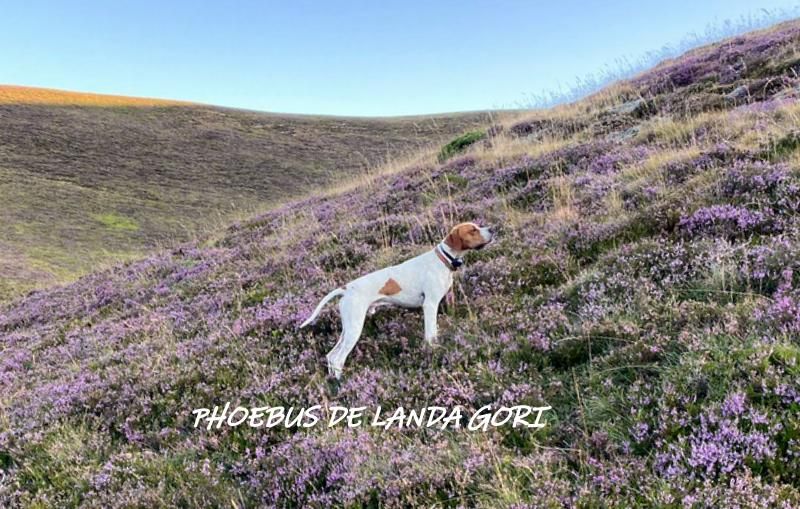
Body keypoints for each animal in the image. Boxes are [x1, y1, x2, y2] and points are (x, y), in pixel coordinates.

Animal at [300, 222, 494, 378]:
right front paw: (433, 351)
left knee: (331, 356)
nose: (492, 229)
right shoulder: (430, 305)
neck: (443, 260)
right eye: (472, 230)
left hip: (347, 328)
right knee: (339, 358)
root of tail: (346, 288)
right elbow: (430, 334)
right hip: (354, 328)